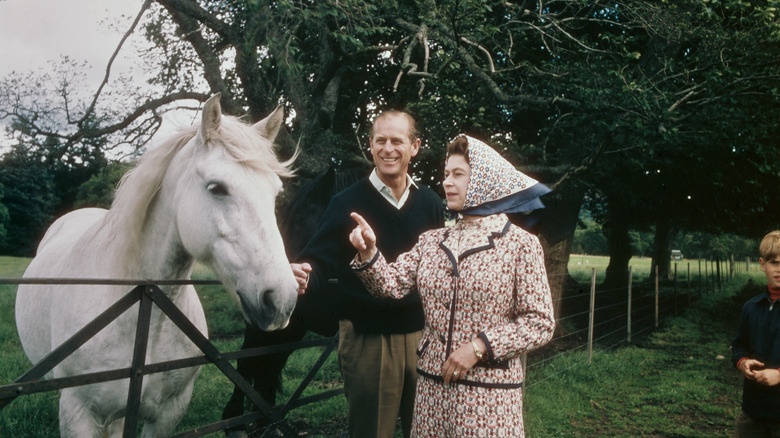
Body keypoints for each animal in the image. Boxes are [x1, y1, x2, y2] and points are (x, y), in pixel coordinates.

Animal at [12, 94, 298, 436]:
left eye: (275, 193)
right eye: (217, 187)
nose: (281, 299)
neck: (142, 312)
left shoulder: (168, 413)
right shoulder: (78, 414)